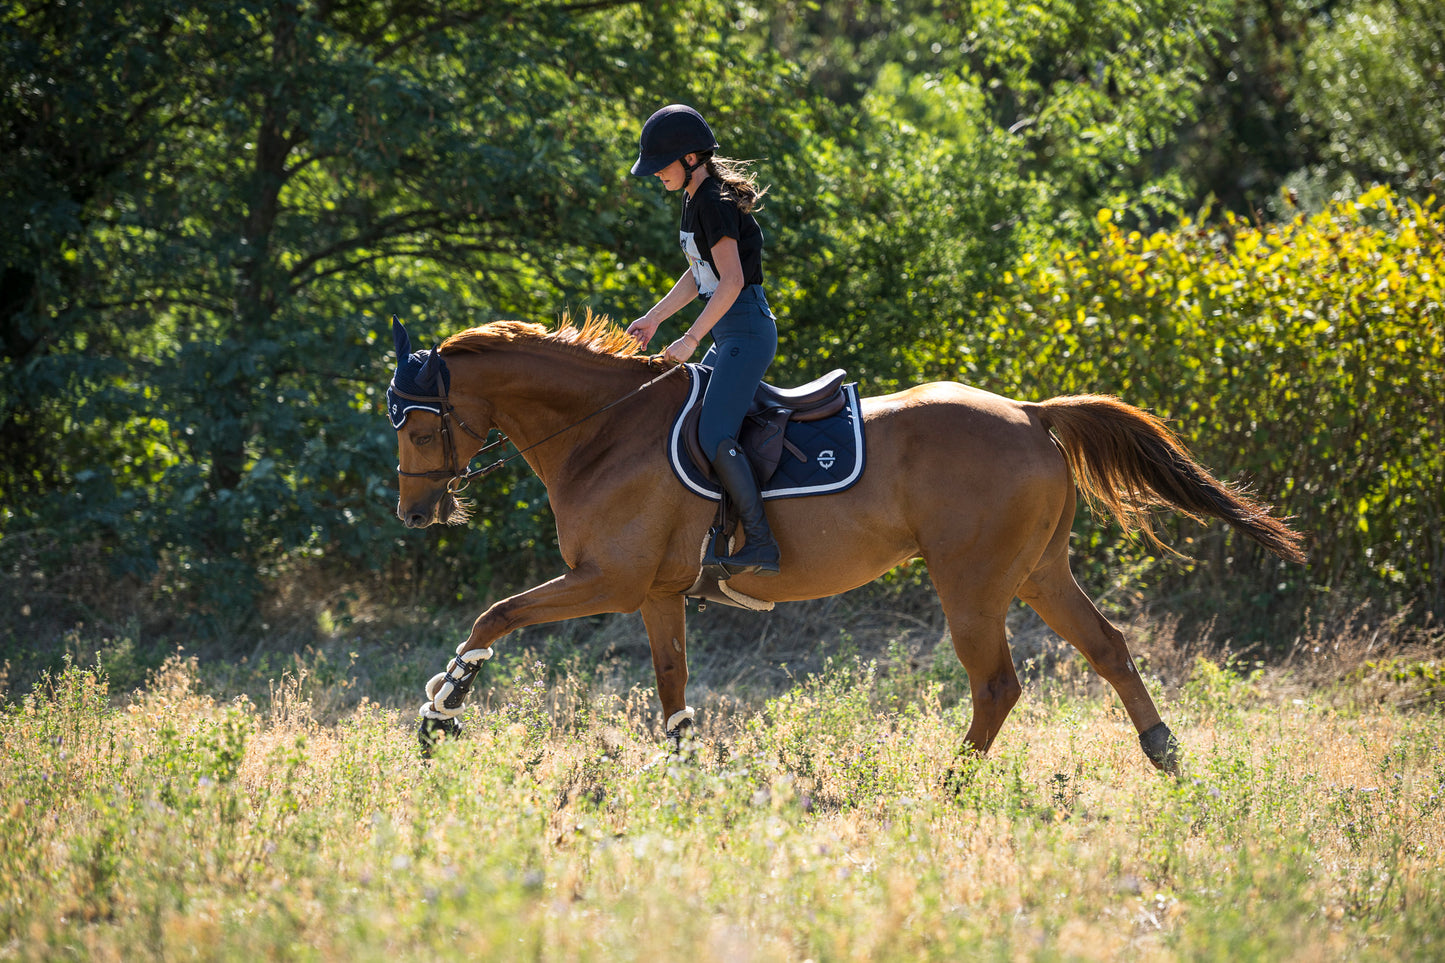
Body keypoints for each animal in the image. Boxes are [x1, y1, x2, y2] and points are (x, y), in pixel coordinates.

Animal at [388, 314, 1306, 774]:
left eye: (419, 423)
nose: (414, 514)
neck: (604, 430)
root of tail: (1028, 412)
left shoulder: (606, 578)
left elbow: (497, 613)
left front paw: (440, 711)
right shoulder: (654, 593)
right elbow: (671, 687)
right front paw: (685, 774)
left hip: (971, 583)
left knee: (997, 685)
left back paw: (951, 785)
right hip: (1041, 572)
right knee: (1108, 648)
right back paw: (1164, 754)